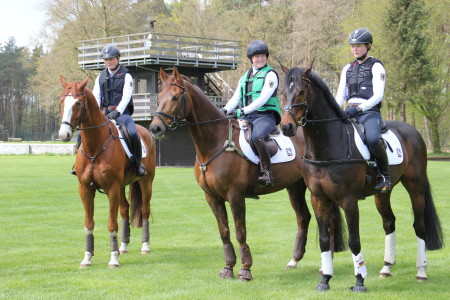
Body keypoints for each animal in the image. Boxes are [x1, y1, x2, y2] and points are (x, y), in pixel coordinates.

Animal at [58, 75, 156, 268]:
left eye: (78, 103)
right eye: (61, 101)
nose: (64, 134)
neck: (96, 146)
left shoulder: (111, 188)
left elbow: (112, 224)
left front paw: (113, 259)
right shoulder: (86, 189)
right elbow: (89, 223)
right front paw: (87, 257)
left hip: (145, 183)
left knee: (145, 210)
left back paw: (145, 246)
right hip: (122, 186)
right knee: (125, 210)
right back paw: (123, 246)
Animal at [148, 67, 344, 282]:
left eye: (175, 97)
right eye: (159, 96)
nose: (155, 128)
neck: (216, 142)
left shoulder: (235, 196)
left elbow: (240, 231)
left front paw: (245, 269)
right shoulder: (212, 198)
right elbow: (224, 232)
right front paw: (228, 267)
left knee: (328, 221)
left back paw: (325, 266)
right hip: (295, 187)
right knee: (303, 217)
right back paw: (294, 260)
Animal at [280, 62, 444, 290]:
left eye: (302, 91)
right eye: (282, 92)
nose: (286, 127)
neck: (329, 145)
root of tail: (412, 132)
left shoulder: (348, 200)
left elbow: (354, 240)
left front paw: (359, 280)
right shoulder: (318, 198)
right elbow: (324, 239)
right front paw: (325, 279)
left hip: (416, 188)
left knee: (419, 226)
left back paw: (421, 272)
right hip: (382, 193)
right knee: (389, 222)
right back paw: (386, 268)